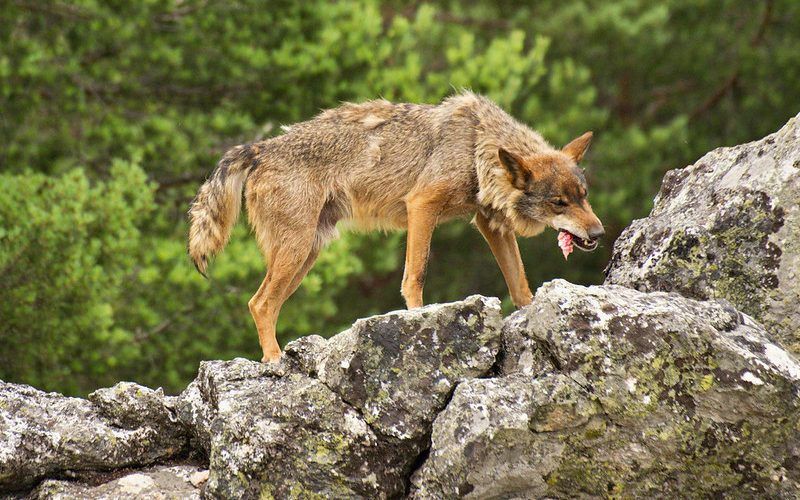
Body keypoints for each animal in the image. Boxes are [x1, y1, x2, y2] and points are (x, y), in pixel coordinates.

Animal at [188, 92, 604, 362]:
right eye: (559, 203)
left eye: (584, 195)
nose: (599, 234)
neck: (476, 147)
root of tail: (260, 148)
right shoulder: (421, 206)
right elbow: (415, 275)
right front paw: (420, 321)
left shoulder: (489, 223)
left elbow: (520, 284)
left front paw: (531, 316)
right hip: (296, 251)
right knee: (258, 303)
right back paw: (274, 361)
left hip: (305, 256)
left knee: (265, 304)